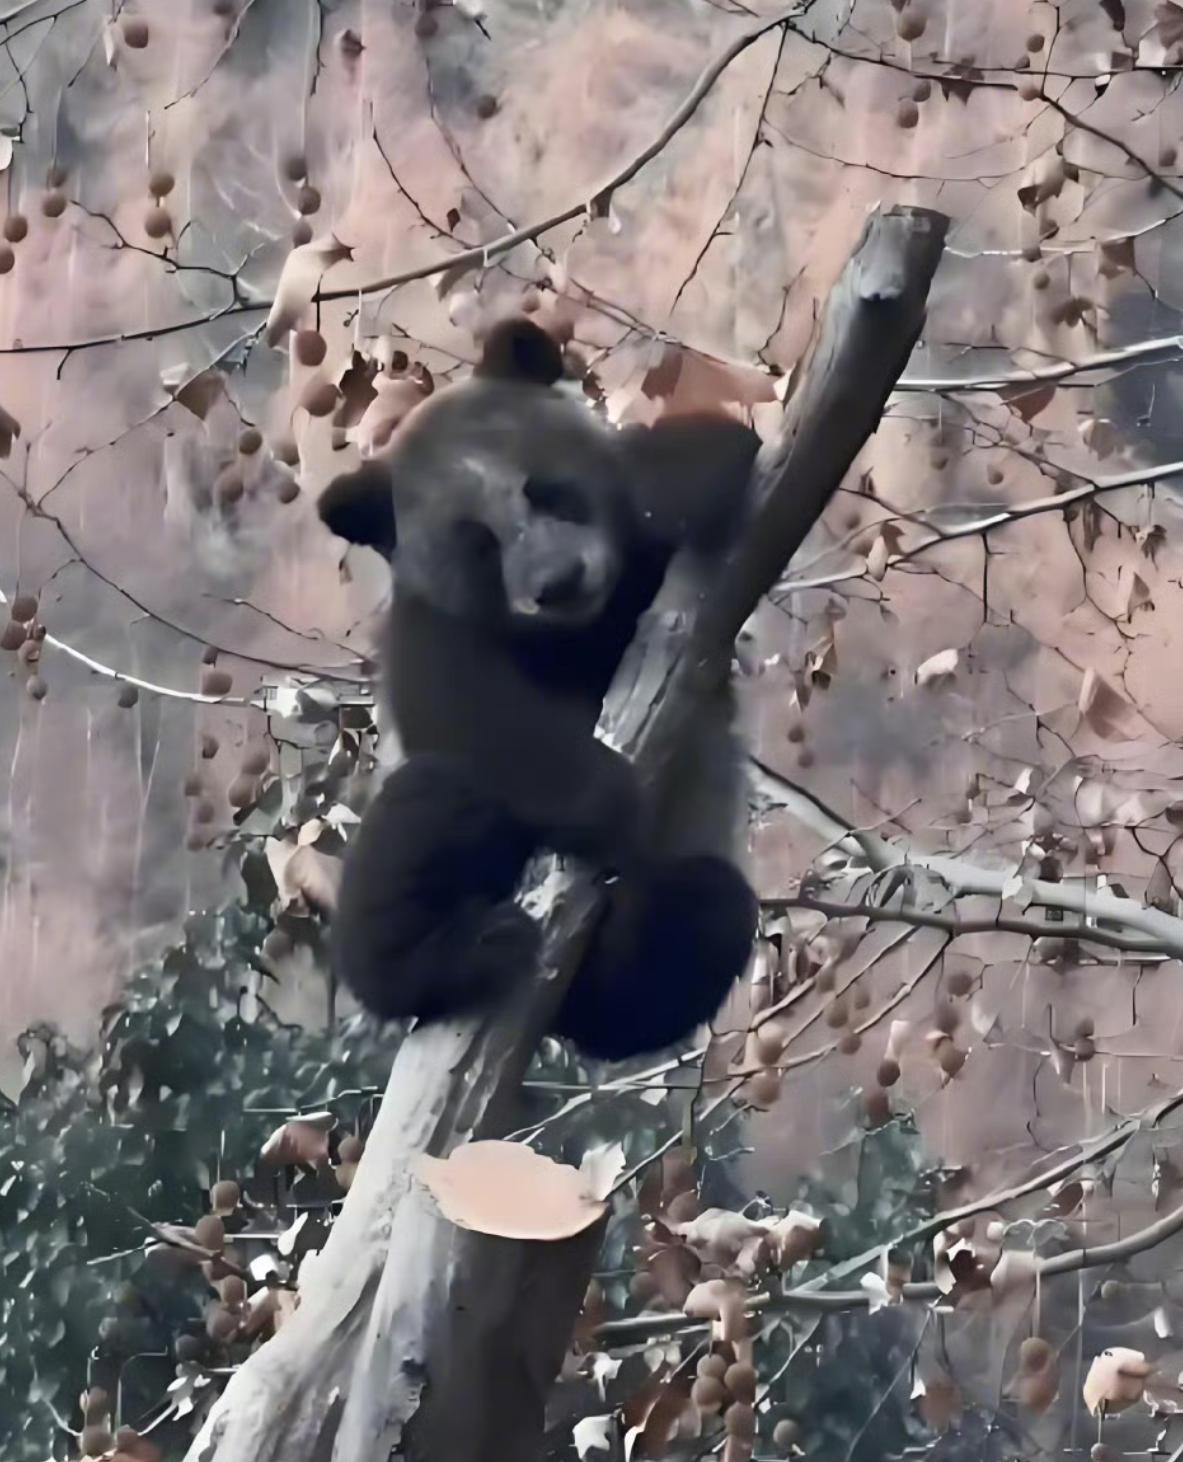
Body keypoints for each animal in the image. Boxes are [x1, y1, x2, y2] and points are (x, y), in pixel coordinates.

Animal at [317, 317, 760, 1060]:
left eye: (549, 491)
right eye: (479, 544)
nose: (558, 582)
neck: (576, 634)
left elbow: (710, 458)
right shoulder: (432, 627)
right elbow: (472, 717)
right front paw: (608, 799)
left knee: (701, 922)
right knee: (427, 817)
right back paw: (465, 952)